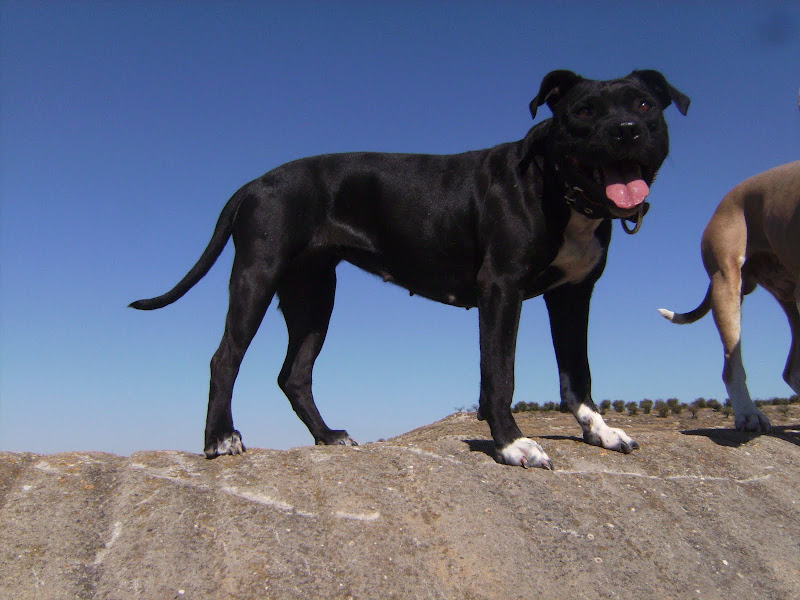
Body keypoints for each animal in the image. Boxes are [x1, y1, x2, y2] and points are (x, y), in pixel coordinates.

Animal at [131, 71, 688, 468]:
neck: (559, 187)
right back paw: (221, 439)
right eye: (583, 111)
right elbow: (500, 373)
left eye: (644, 105)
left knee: (294, 375)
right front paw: (512, 445)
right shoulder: (501, 289)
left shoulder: (573, 295)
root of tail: (255, 183)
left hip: (313, 295)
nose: (626, 131)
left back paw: (328, 437)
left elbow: (578, 374)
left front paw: (601, 432)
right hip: (257, 275)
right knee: (225, 357)